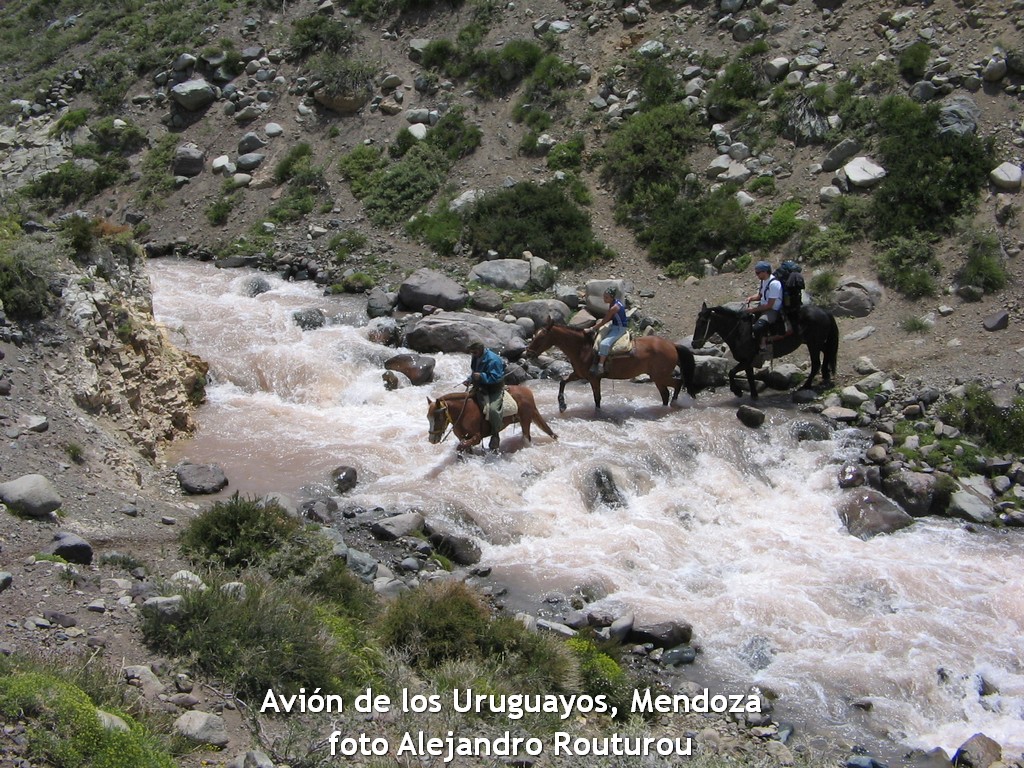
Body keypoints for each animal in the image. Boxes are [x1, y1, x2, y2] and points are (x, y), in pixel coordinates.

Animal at [425, 385, 561, 450]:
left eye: (438, 418)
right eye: (428, 418)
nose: (432, 439)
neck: (463, 412)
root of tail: (528, 391)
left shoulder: (477, 437)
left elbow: (462, 446)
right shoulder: (463, 438)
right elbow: (463, 446)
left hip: (525, 420)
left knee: (527, 438)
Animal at [524, 319, 700, 411]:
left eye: (541, 337)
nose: (528, 354)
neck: (583, 348)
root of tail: (672, 345)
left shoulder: (594, 379)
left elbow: (597, 399)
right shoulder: (579, 375)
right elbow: (562, 382)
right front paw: (562, 404)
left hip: (659, 376)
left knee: (677, 384)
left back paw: (674, 403)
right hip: (658, 377)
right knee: (667, 392)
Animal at [688, 303, 839, 399]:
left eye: (703, 322)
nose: (694, 343)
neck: (740, 331)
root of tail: (825, 312)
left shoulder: (747, 359)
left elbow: (731, 372)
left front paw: (737, 391)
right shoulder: (747, 362)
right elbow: (749, 377)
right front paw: (753, 395)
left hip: (813, 344)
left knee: (816, 363)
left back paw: (806, 386)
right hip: (816, 343)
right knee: (827, 353)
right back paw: (825, 376)